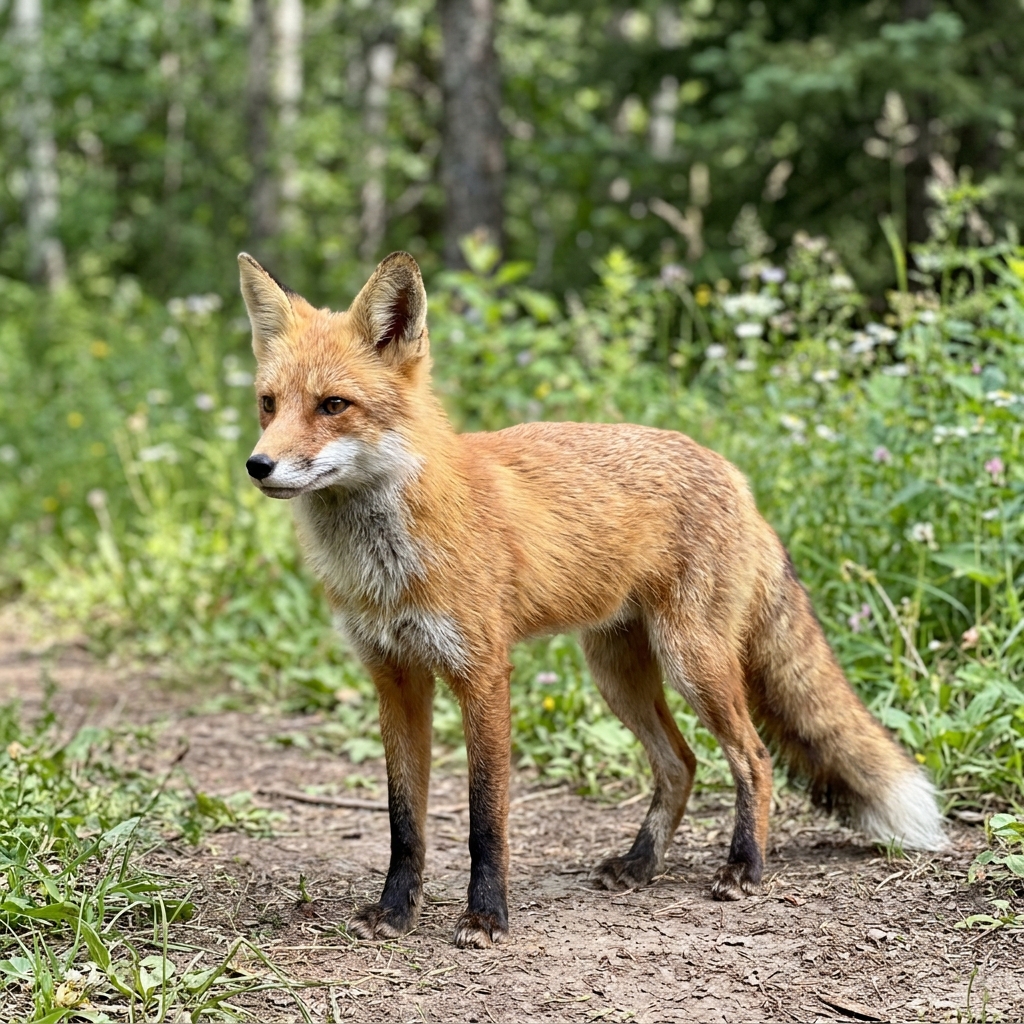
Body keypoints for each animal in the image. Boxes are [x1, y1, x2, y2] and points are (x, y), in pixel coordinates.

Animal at [237, 250, 946, 949]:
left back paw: (744, 866)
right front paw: (393, 911)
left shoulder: (482, 674)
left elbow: (485, 817)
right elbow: (404, 820)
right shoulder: (396, 677)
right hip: (616, 675)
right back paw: (640, 864)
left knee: (754, 757)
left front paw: (486, 915)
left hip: (694, 664)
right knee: (681, 763)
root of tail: (734, 474)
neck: (387, 561)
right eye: (268, 404)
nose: (257, 466)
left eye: (333, 405)